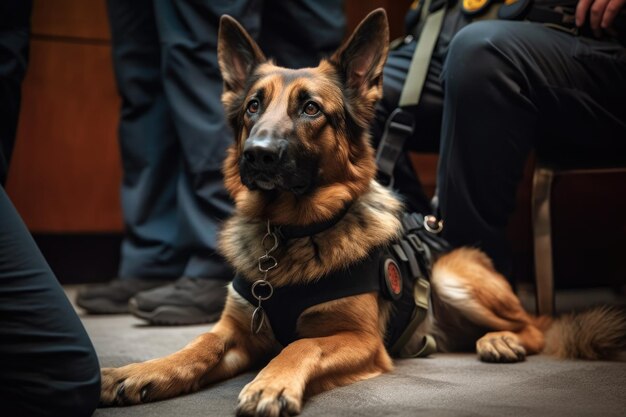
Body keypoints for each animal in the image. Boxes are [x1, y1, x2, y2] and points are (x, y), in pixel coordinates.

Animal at [101, 8, 624, 416]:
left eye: (311, 109)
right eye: (252, 107)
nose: (257, 155)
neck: (290, 235)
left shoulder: (358, 340)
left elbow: (301, 343)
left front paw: (271, 381)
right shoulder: (236, 331)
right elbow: (198, 344)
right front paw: (141, 371)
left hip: (454, 275)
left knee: (534, 326)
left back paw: (500, 340)